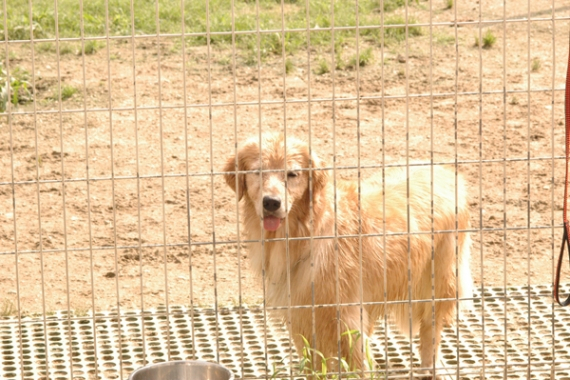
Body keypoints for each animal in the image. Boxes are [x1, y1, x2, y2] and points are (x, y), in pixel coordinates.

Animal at [222, 133, 470, 378]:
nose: (271, 203)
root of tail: (445, 172)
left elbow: (359, 365)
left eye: (292, 174)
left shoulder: (347, 317)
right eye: (257, 171)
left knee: (431, 329)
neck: (307, 231)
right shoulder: (304, 318)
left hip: (439, 280)